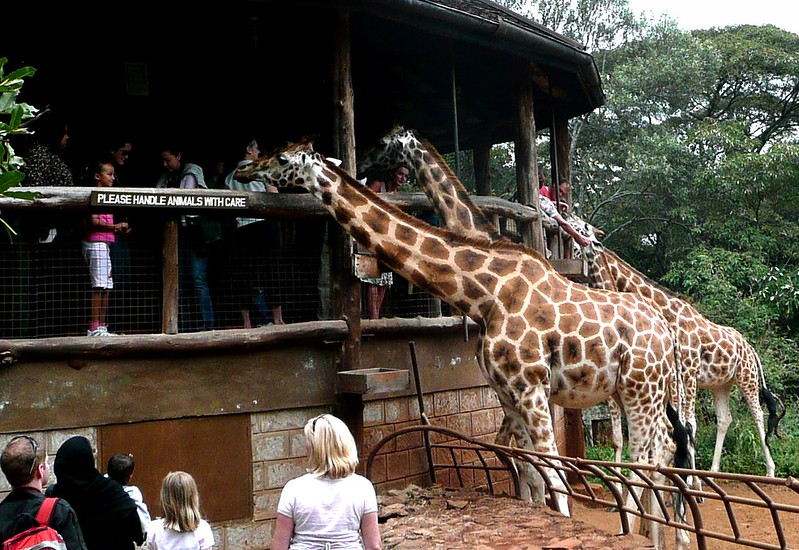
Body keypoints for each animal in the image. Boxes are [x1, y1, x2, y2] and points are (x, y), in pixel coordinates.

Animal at [236, 140, 688, 547]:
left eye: (281, 157)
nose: (243, 169)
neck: (484, 294)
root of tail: (665, 333)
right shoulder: (509, 392)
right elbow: (530, 471)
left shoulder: (531, 388)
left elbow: (553, 475)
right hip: (634, 392)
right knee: (662, 449)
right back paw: (663, 534)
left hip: (641, 391)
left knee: (648, 457)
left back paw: (648, 530)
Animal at [573, 218, 784, 478]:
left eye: (581, 227)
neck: (667, 312)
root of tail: (750, 347)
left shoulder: (686, 374)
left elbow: (686, 424)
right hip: (721, 384)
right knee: (724, 419)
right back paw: (712, 470)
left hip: (747, 378)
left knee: (757, 415)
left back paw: (770, 472)